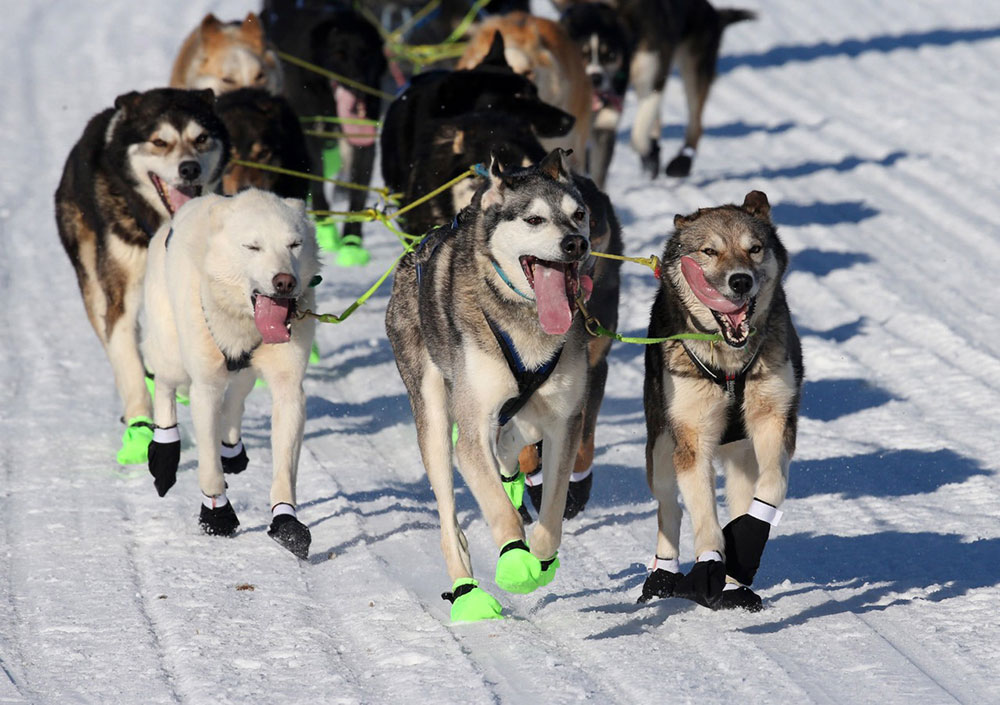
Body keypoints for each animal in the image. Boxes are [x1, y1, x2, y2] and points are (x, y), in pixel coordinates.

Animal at [141, 190, 318, 560]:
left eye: (294, 244)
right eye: (252, 246)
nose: (284, 281)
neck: (243, 324)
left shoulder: (289, 388)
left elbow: (284, 469)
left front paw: (286, 521)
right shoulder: (205, 386)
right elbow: (209, 466)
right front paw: (217, 513)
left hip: (245, 375)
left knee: (235, 400)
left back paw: (233, 449)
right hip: (172, 353)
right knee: (164, 386)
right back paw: (164, 454)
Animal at [386, 147, 592, 616]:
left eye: (579, 214)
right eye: (534, 219)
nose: (576, 243)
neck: (524, 318)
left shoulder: (565, 420)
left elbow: (552, 510)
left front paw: (542, 557)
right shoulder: (471, 430)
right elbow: (500, 511)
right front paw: (516, 562)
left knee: (515, 442)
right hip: (434, 418)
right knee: (449, 519)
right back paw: (466, 591)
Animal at [640, 191, 804, 612]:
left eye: (755, 248)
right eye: (709, 251)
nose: (741, 281)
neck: (731, 367)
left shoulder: (774, 421)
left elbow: (771, 488)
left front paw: (742, 548)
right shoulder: (692, 439)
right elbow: (701, 513)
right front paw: (709, 564)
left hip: (743, 455)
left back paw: (734, 586)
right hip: (660, 446)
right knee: (669, 507)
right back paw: (663, 574)